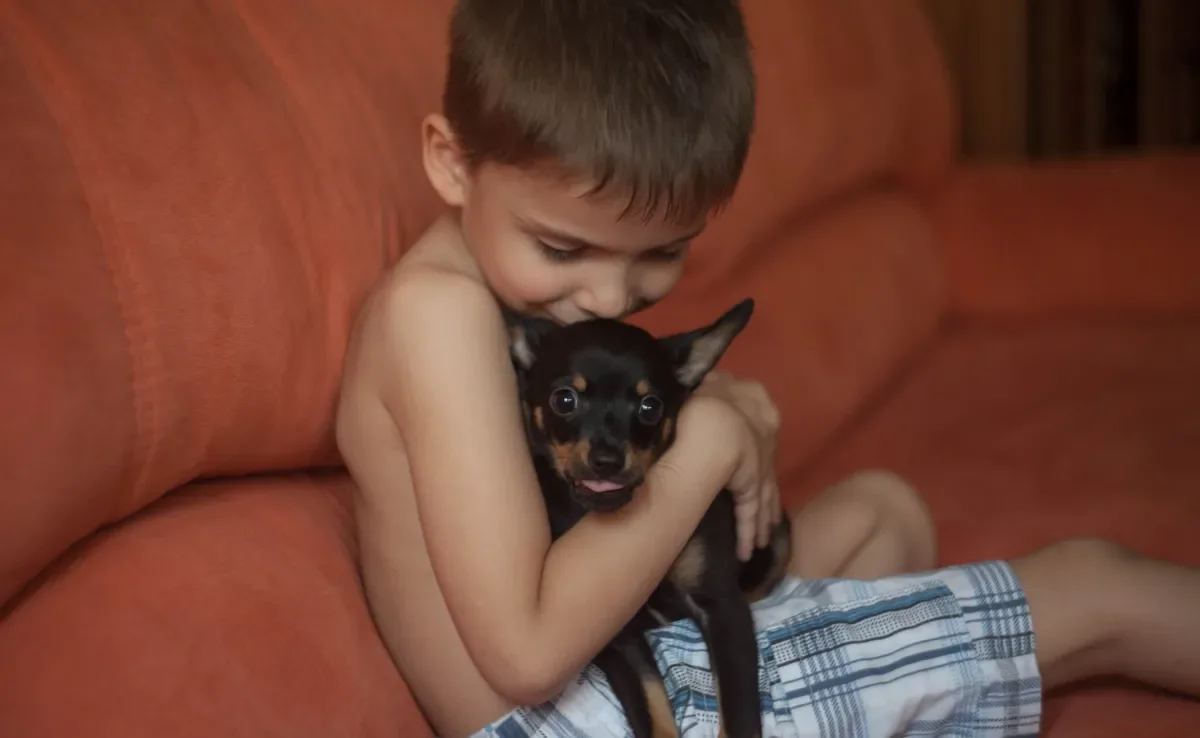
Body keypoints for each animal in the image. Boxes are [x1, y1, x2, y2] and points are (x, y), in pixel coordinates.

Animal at [511, 298, 792, 738]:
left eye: (650, 406)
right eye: (564, 400)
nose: (607, 460)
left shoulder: (721, 607)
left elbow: (739, 716)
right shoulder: (618, 642)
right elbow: (652, 712)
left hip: (778, 537)